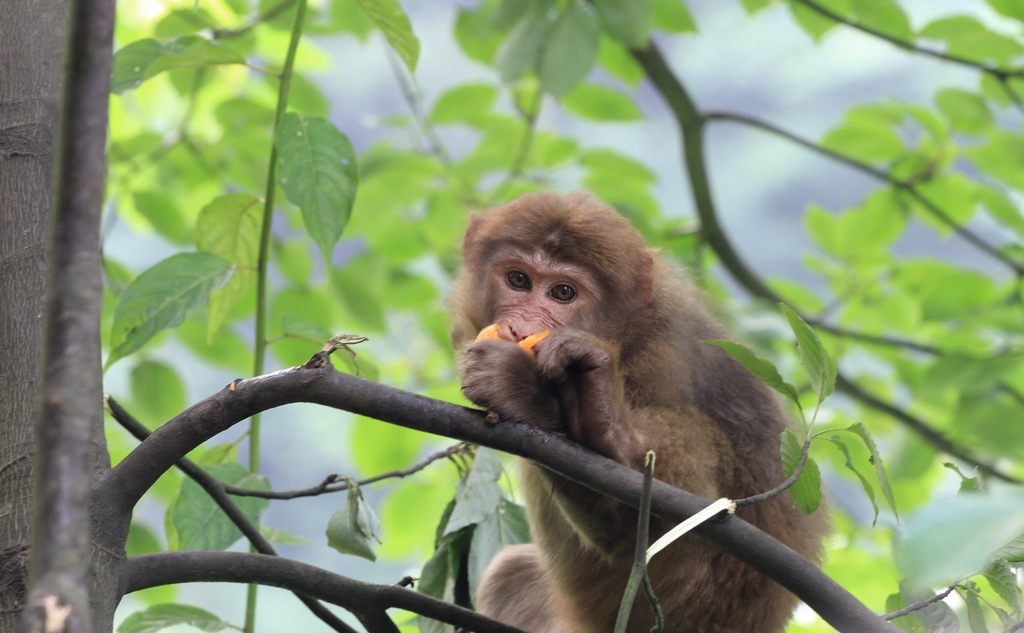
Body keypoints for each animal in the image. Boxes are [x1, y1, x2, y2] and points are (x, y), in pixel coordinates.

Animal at [448, 192, 823, 630]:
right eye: (518, 280)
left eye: (563, 293)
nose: (522, 329)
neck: (621, 335)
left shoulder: (660, 354)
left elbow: (627, 528)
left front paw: (526, 393)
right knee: (509, 574)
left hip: (696, 591)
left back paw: (607, 428)